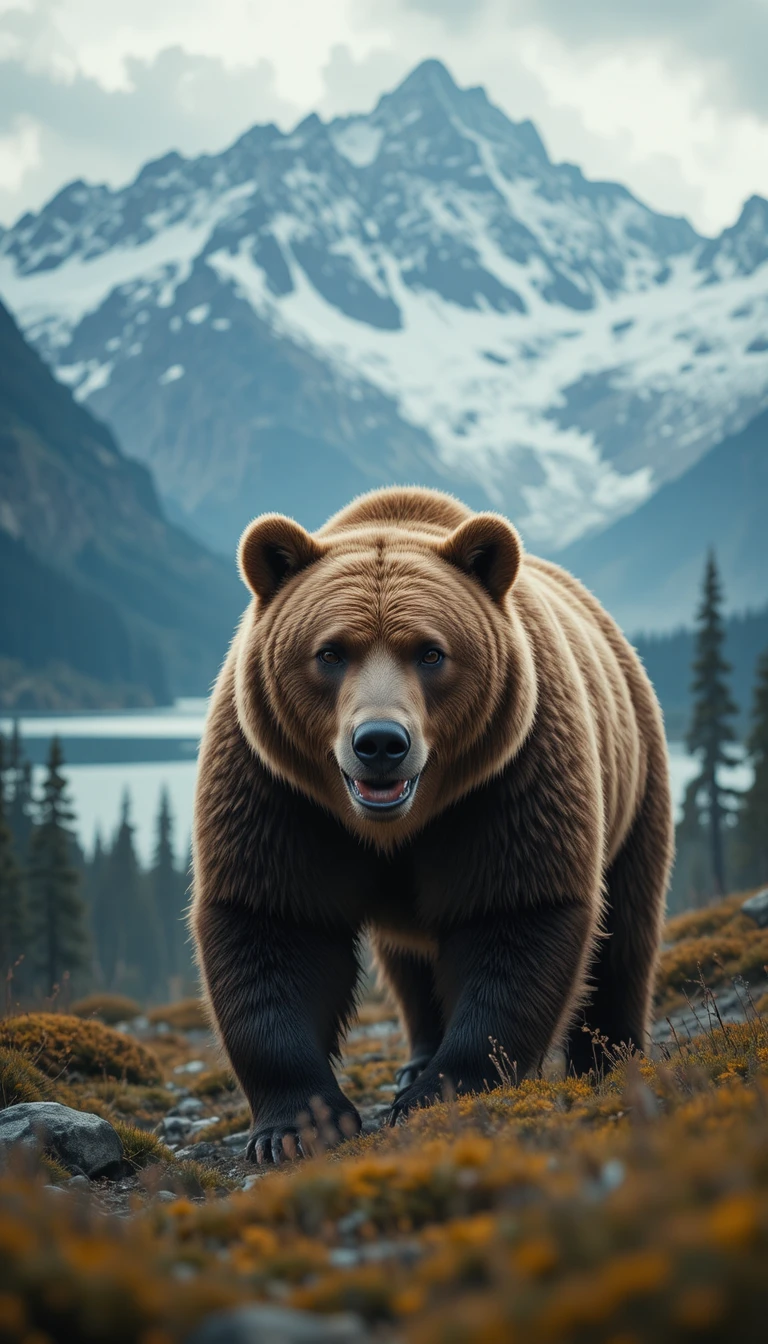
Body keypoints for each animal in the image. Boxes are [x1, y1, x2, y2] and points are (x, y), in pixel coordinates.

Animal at [191, 486, 673, 1164]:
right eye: (331, 652)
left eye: (430, 651)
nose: (380, 742)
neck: (394, 825)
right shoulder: (277, 790)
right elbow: (273, 922)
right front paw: (296, 1126)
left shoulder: (510, 777)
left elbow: (515, 914)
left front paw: (442, 1092)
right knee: (409, 964)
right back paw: (416, 1055)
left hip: (636, 780)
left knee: (626, 930)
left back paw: (609, 1056)